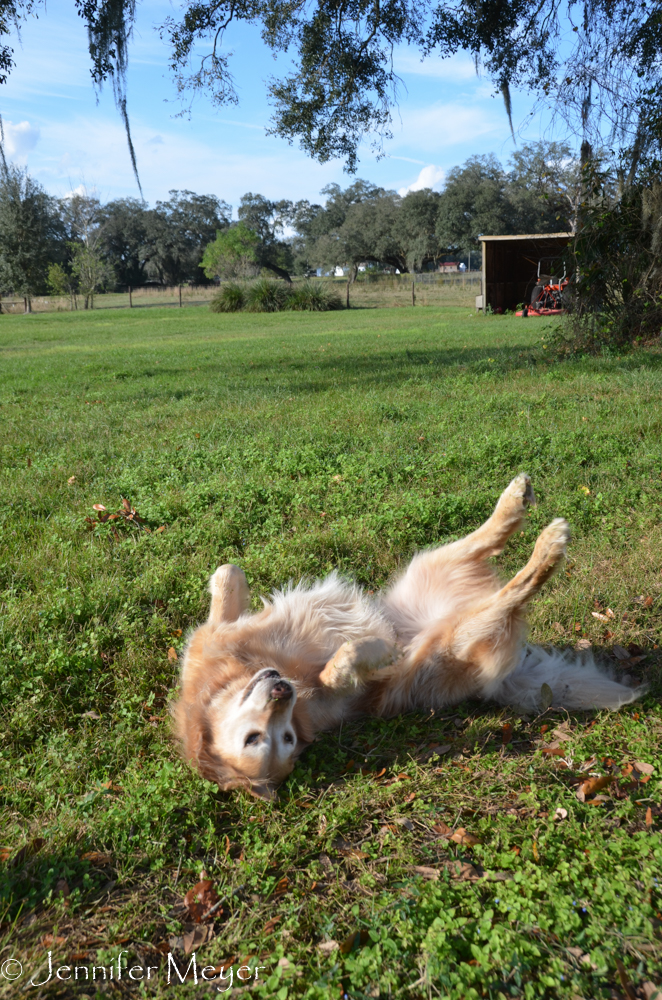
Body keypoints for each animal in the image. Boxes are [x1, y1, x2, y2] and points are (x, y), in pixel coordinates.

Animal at [174, 474, 644, 796]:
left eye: (283, 737)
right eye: (261, 740)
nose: (282, 692)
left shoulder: (212, 637)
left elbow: (227, 572)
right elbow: (351, 661)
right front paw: (367, 658)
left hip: (430, 564)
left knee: (481, 540)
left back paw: (514, 500)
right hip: (457, 634)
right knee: (512, 592)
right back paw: (548, 545)